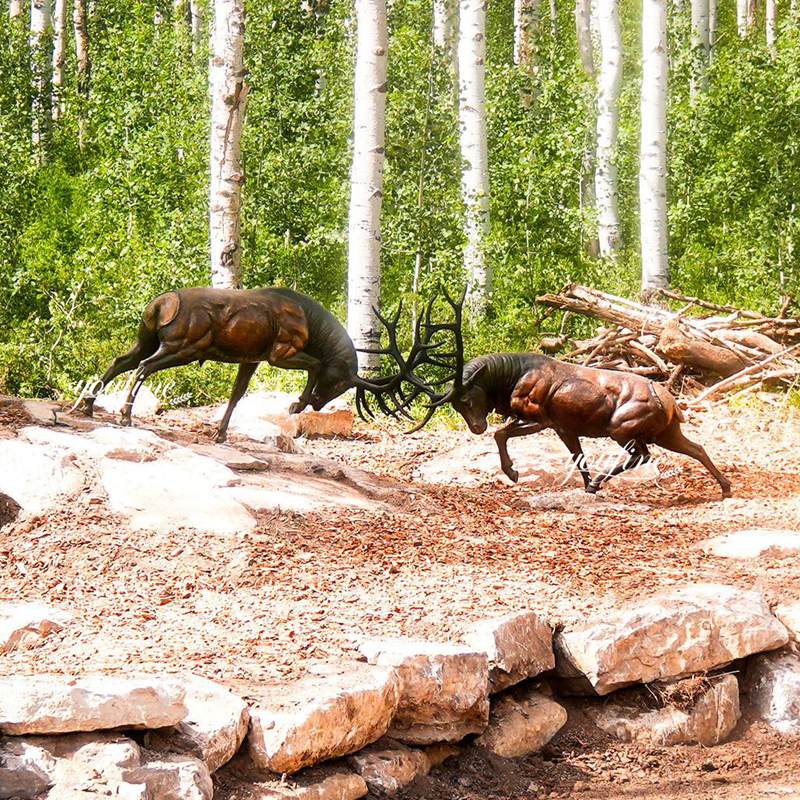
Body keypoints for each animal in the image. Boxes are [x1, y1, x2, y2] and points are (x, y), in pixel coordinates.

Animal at [81, 286, 394, 443]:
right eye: (340, 381)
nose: (318, 403)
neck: (315, 330)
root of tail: (159, 305)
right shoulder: (279, 352)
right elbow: (316, 364)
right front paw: (297, 404)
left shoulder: (251, 358)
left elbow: (236, 394)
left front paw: (219, 434)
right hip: (184, 346)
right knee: (144, 366)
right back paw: (124, 416)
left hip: (147, 339)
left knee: (120, 360)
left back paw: (88, 406)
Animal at [362, 291, 732, 498]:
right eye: (454, 407)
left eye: (467, 398)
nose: (476, 427)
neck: (508, 382)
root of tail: (669, 402)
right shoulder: (563, 426)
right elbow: (577, 456)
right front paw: (585, 484)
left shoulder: (542, 417)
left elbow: (502, 434)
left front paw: (513, 473)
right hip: (665, 431)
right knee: (695, 448)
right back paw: (725, 487)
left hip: (622, 428)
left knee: (642, 455)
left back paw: (604, 480)